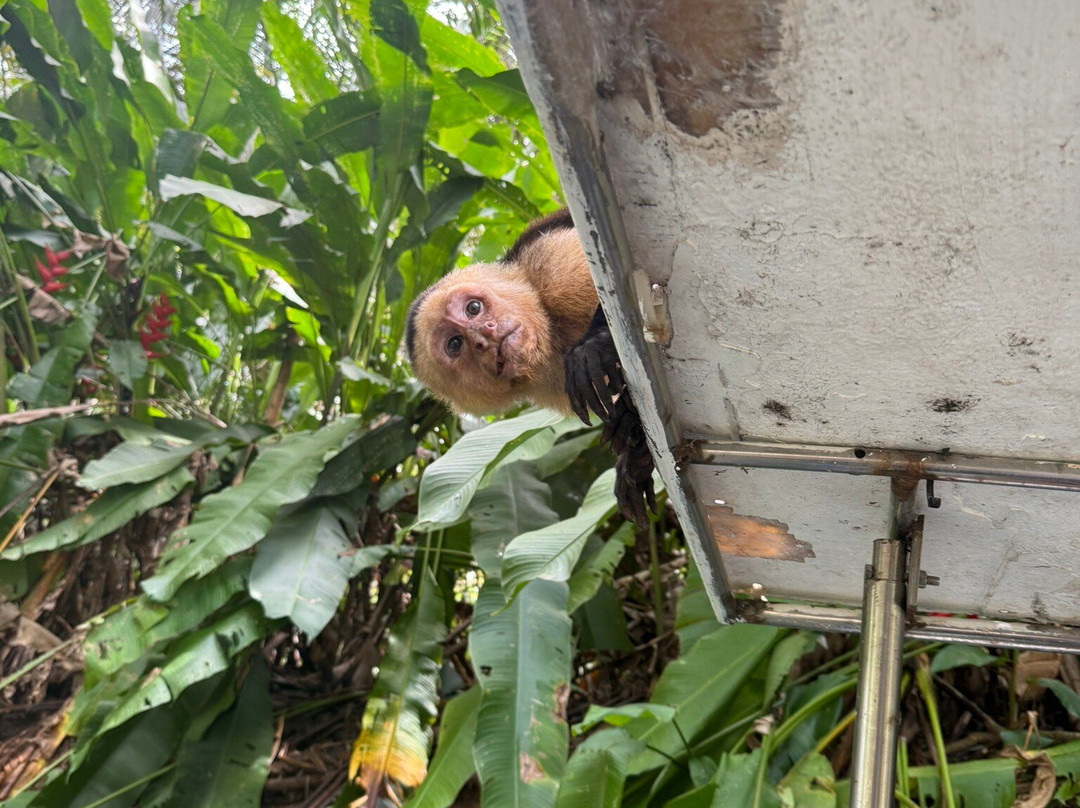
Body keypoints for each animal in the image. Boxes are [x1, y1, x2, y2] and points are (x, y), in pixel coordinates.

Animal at [405, 209, 656, 526]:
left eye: (473, 308)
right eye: (454, 344)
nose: (483, 337)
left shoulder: (550, 263)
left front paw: (595, 346)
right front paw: (634, 451)